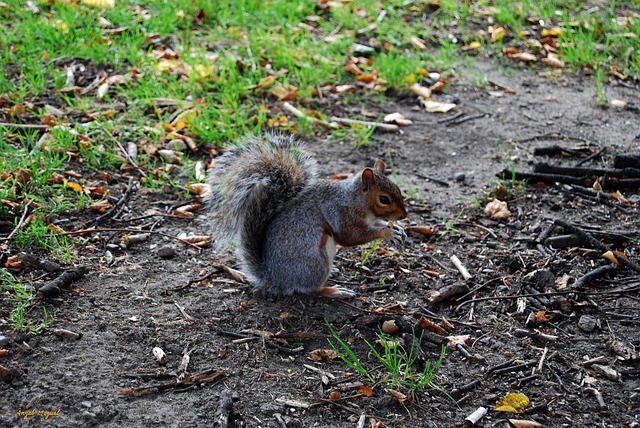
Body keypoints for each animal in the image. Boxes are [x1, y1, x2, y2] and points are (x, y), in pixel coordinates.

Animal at [209, 133, 410, 298]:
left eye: (398, 189)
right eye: (383, 199)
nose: (403, 215)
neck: (357, 200)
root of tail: (275, 279)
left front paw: (397, 229)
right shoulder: (340, 213)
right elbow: (350, 236)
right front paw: (387, 232)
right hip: (315, 261)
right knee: (310, 289)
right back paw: (334, 291)